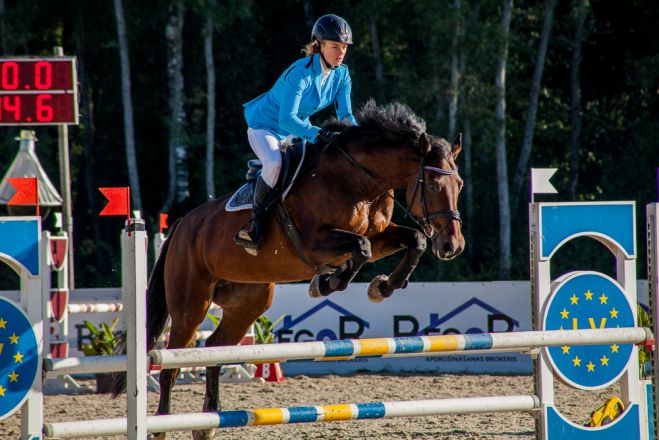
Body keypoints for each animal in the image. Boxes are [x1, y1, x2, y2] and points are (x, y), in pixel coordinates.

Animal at [112, 100, 464, 440]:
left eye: (458, 184)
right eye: (433, 185)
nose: (453, 245)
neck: (360, 180)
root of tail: (182, 224)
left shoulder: (380, 236)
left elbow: (414, 240)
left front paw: (381, 286)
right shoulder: (315, 242)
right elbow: (361, 248)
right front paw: (326, 283)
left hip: (249, 301)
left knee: (213, 348)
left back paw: (207, 423)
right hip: (190, 304)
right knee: (172, 363)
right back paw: (162, 426)